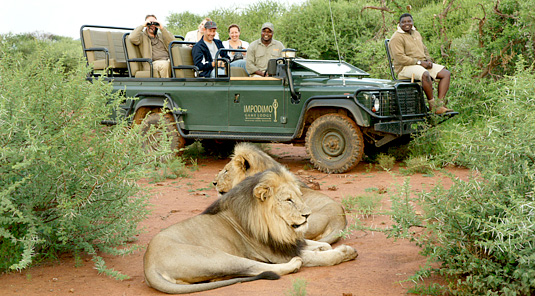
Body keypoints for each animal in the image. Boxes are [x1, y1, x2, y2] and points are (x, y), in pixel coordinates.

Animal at [144, 166, 358, 294]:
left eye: (299, 196)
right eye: (288, 200)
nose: (307, 215)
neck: (278, 226)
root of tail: (148, 264)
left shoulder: (288, 242)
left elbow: (315, 243)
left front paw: (322, 246)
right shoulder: (276, 253)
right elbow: (319, 257)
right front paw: (344, 252)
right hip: (215, 256)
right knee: (258, 267)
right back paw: (294, 264)